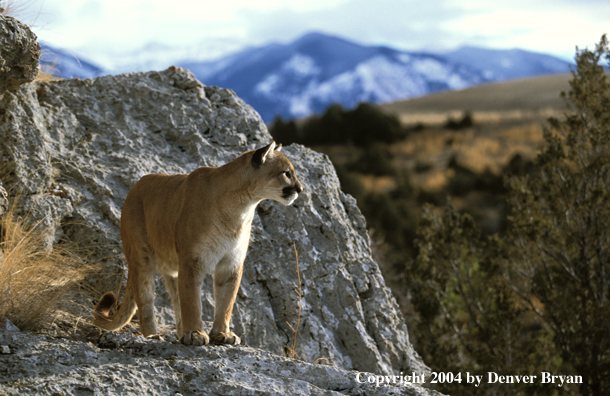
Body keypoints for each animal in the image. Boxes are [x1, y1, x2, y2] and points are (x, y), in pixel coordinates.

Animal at [93, 141, 302, 344]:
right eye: (287, 173)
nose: (300, 189)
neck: (241, 207)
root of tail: (134, 187)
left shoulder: (231, 263)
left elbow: (226, 301)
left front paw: (222, 334)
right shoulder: (192, 260)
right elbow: (192, 300)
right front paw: (195, 333)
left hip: (172, 266)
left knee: (176, 298)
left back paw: (179, 334)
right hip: (141, 256)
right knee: (145, 299)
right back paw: (153, 335)